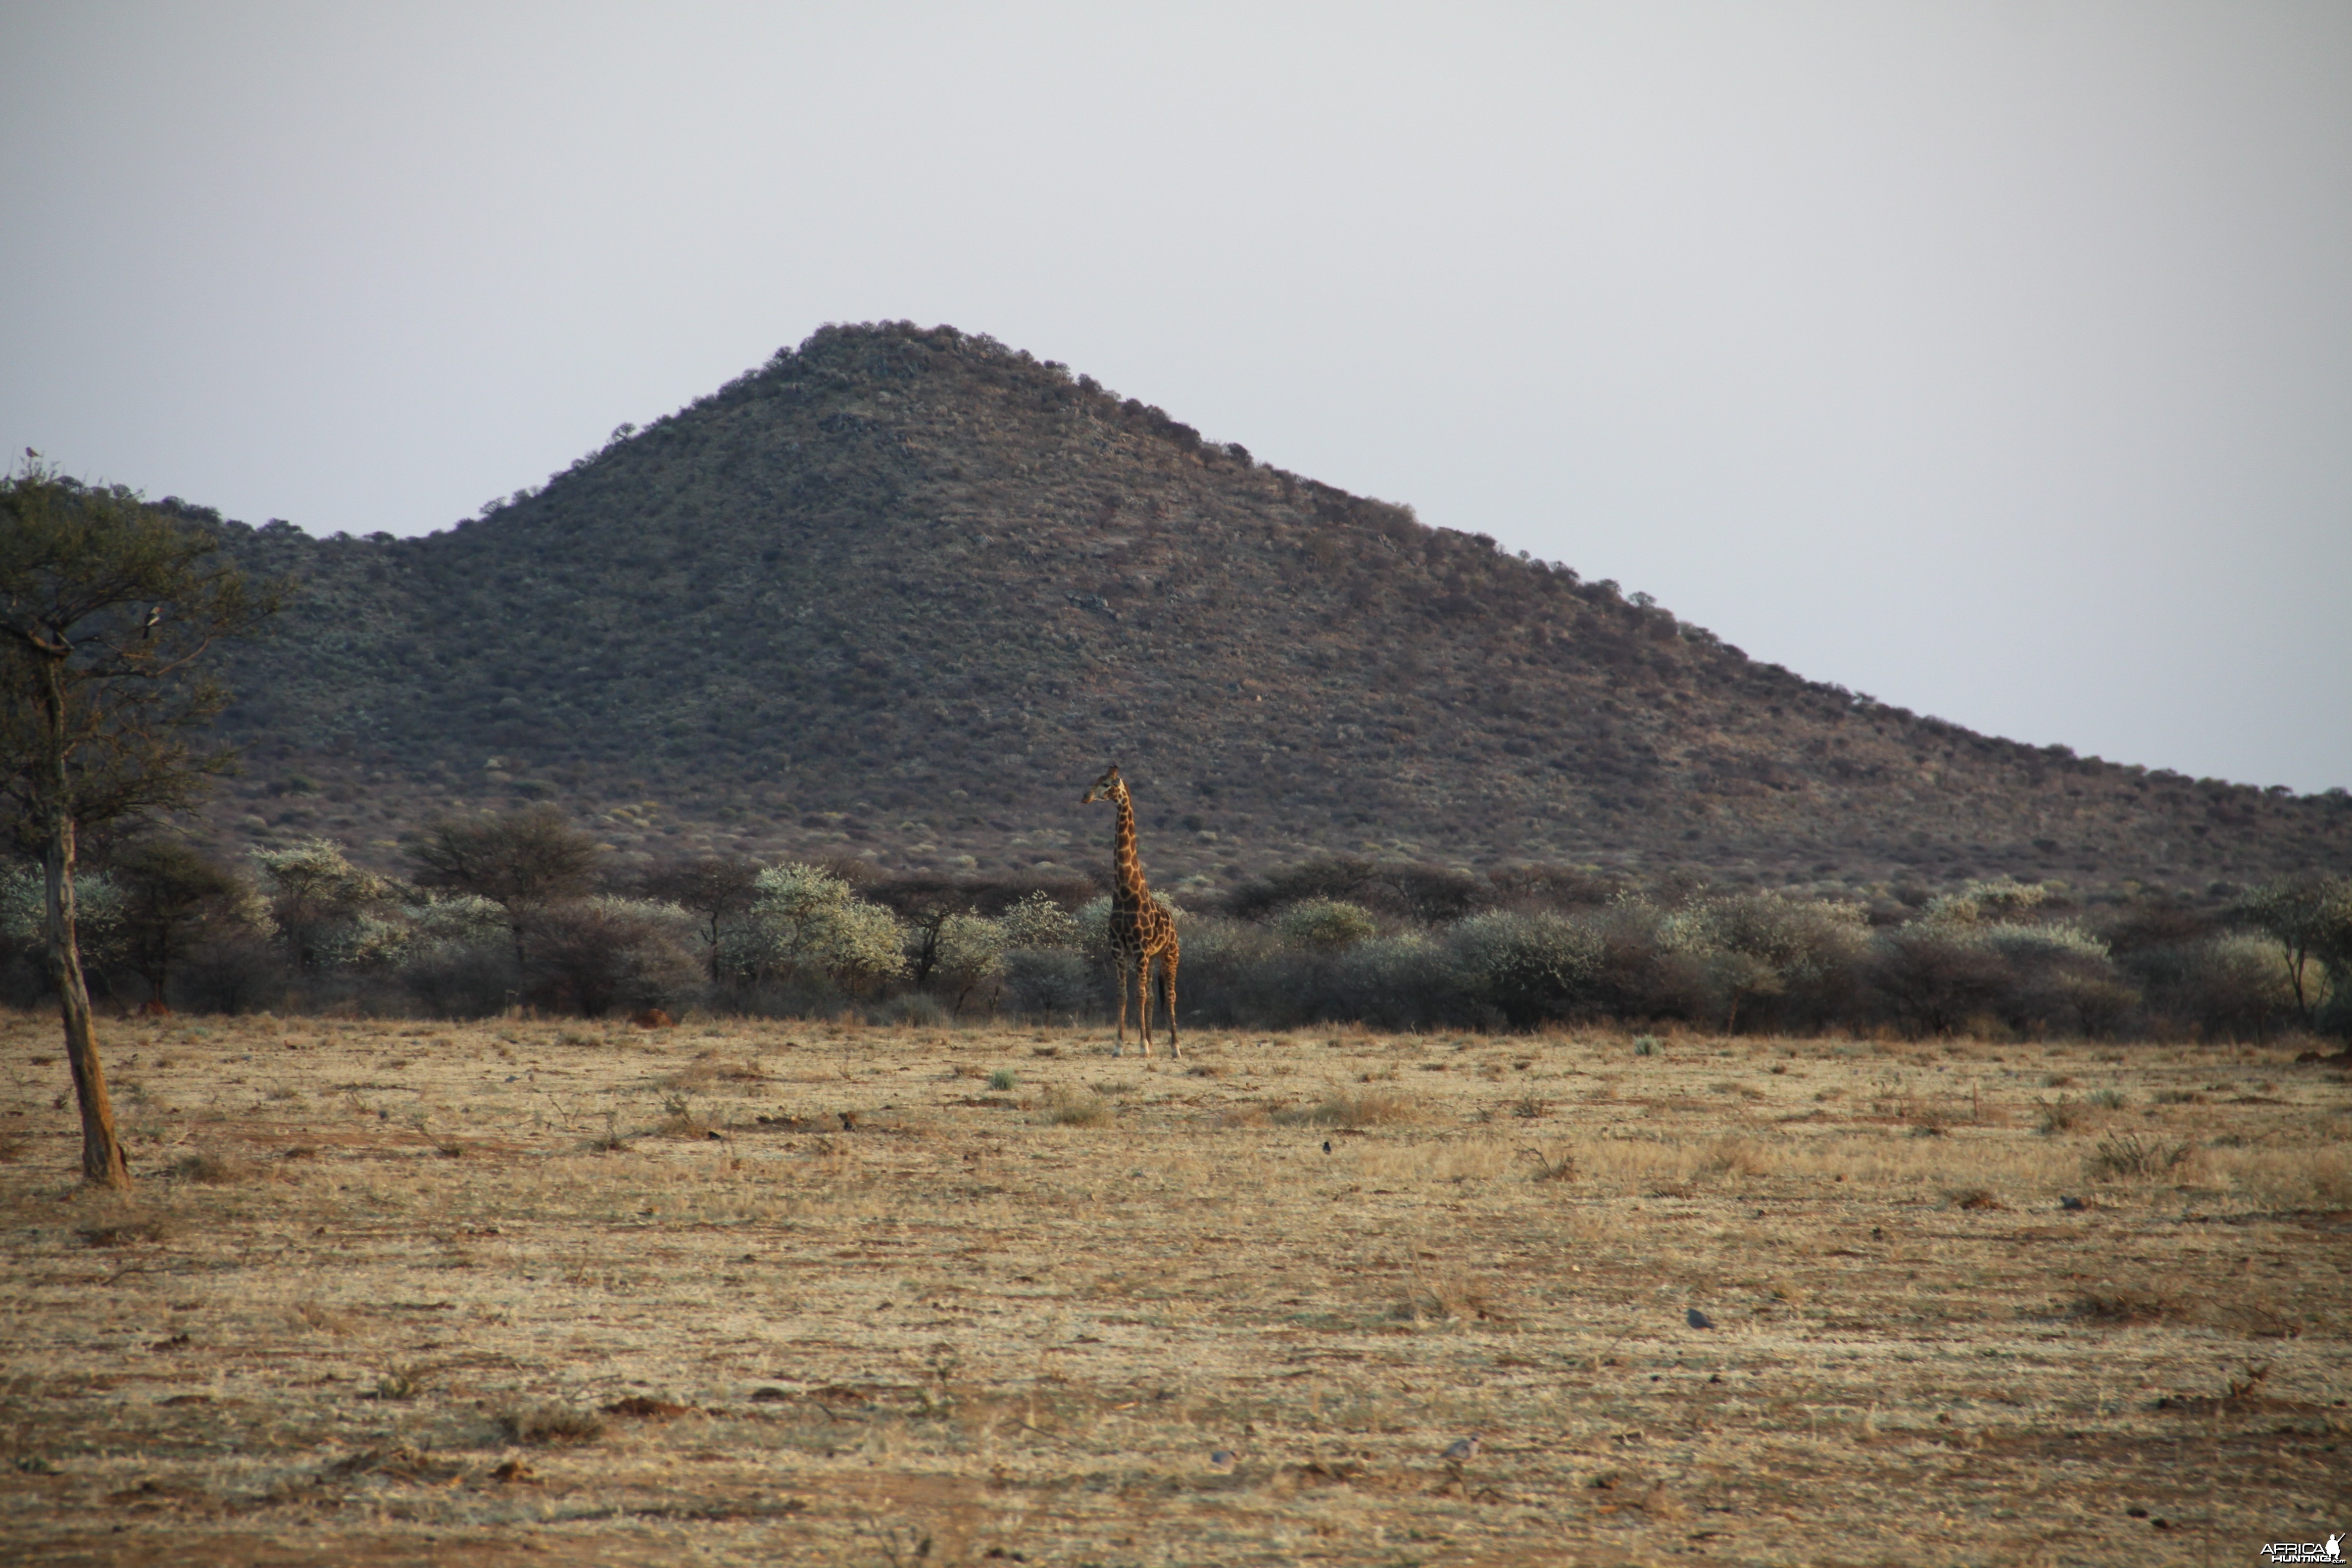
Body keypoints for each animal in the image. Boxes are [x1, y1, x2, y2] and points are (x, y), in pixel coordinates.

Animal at [1077, 761, 1176, 1062]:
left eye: (1108, 783)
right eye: (1095, 779)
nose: (1085, 797)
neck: (1125, 894)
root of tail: (1175, 923)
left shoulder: (1140, 950)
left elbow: (1139, 995)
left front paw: (1142, 1046)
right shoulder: (1118, 950)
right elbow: (1123, 994)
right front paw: (1119, 1046)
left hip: (1170, 955)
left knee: (1171, 995)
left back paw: (1175, 1047)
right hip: (1154, 958)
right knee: (1155, 996)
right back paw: (1155, 1042)